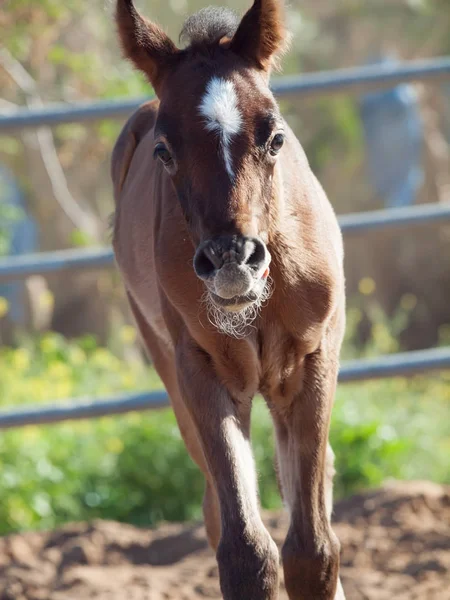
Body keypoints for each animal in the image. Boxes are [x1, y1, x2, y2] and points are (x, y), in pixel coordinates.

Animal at [110, 2, 346, 596]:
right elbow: (245, 550)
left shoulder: (312, 363)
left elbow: (312, 549)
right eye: (164, 151)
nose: (232, 259)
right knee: (218, 507)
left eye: (275, 137)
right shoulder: (202, 372)